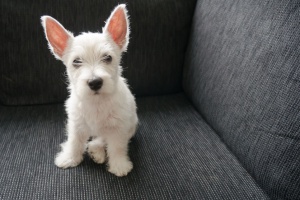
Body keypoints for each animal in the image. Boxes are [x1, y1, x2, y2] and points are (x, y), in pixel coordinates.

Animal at [40, 4, 138, 177]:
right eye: (76, 61)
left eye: (108, 58)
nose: (95, 82)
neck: (96, 101)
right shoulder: (76, 124)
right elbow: (74, 142)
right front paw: (69, 158)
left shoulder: (119, 127)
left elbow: (117, 147)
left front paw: (119, 165)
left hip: (131, 126)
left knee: (102, 139)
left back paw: (96, 150)